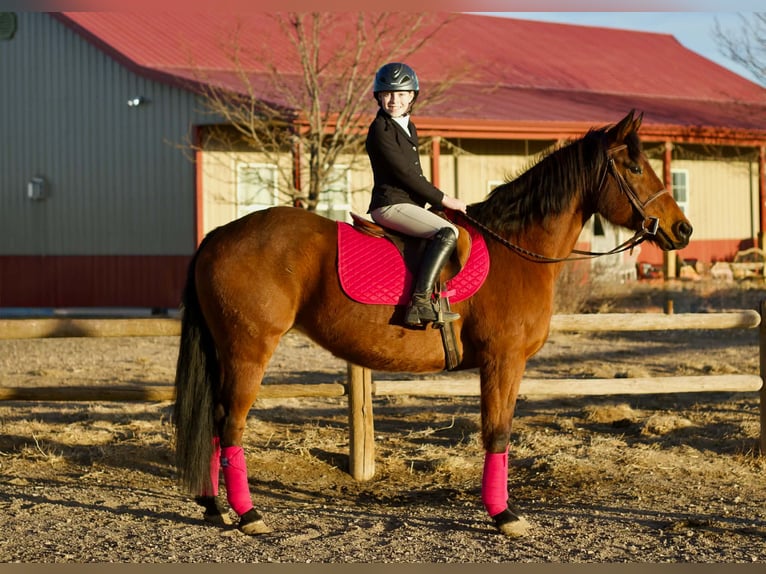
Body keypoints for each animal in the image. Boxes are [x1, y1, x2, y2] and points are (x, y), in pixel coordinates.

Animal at [173, 109, 692, 537]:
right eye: (634, 168)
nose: (682, 229)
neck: (517, 249)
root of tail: (218, 235)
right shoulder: (504, 361)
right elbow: (497, 432)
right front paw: (504, 516)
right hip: (249, 350)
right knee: (231, 425)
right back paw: (248, 514)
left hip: (228, 351)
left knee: (215, 424)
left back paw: (214, 506)